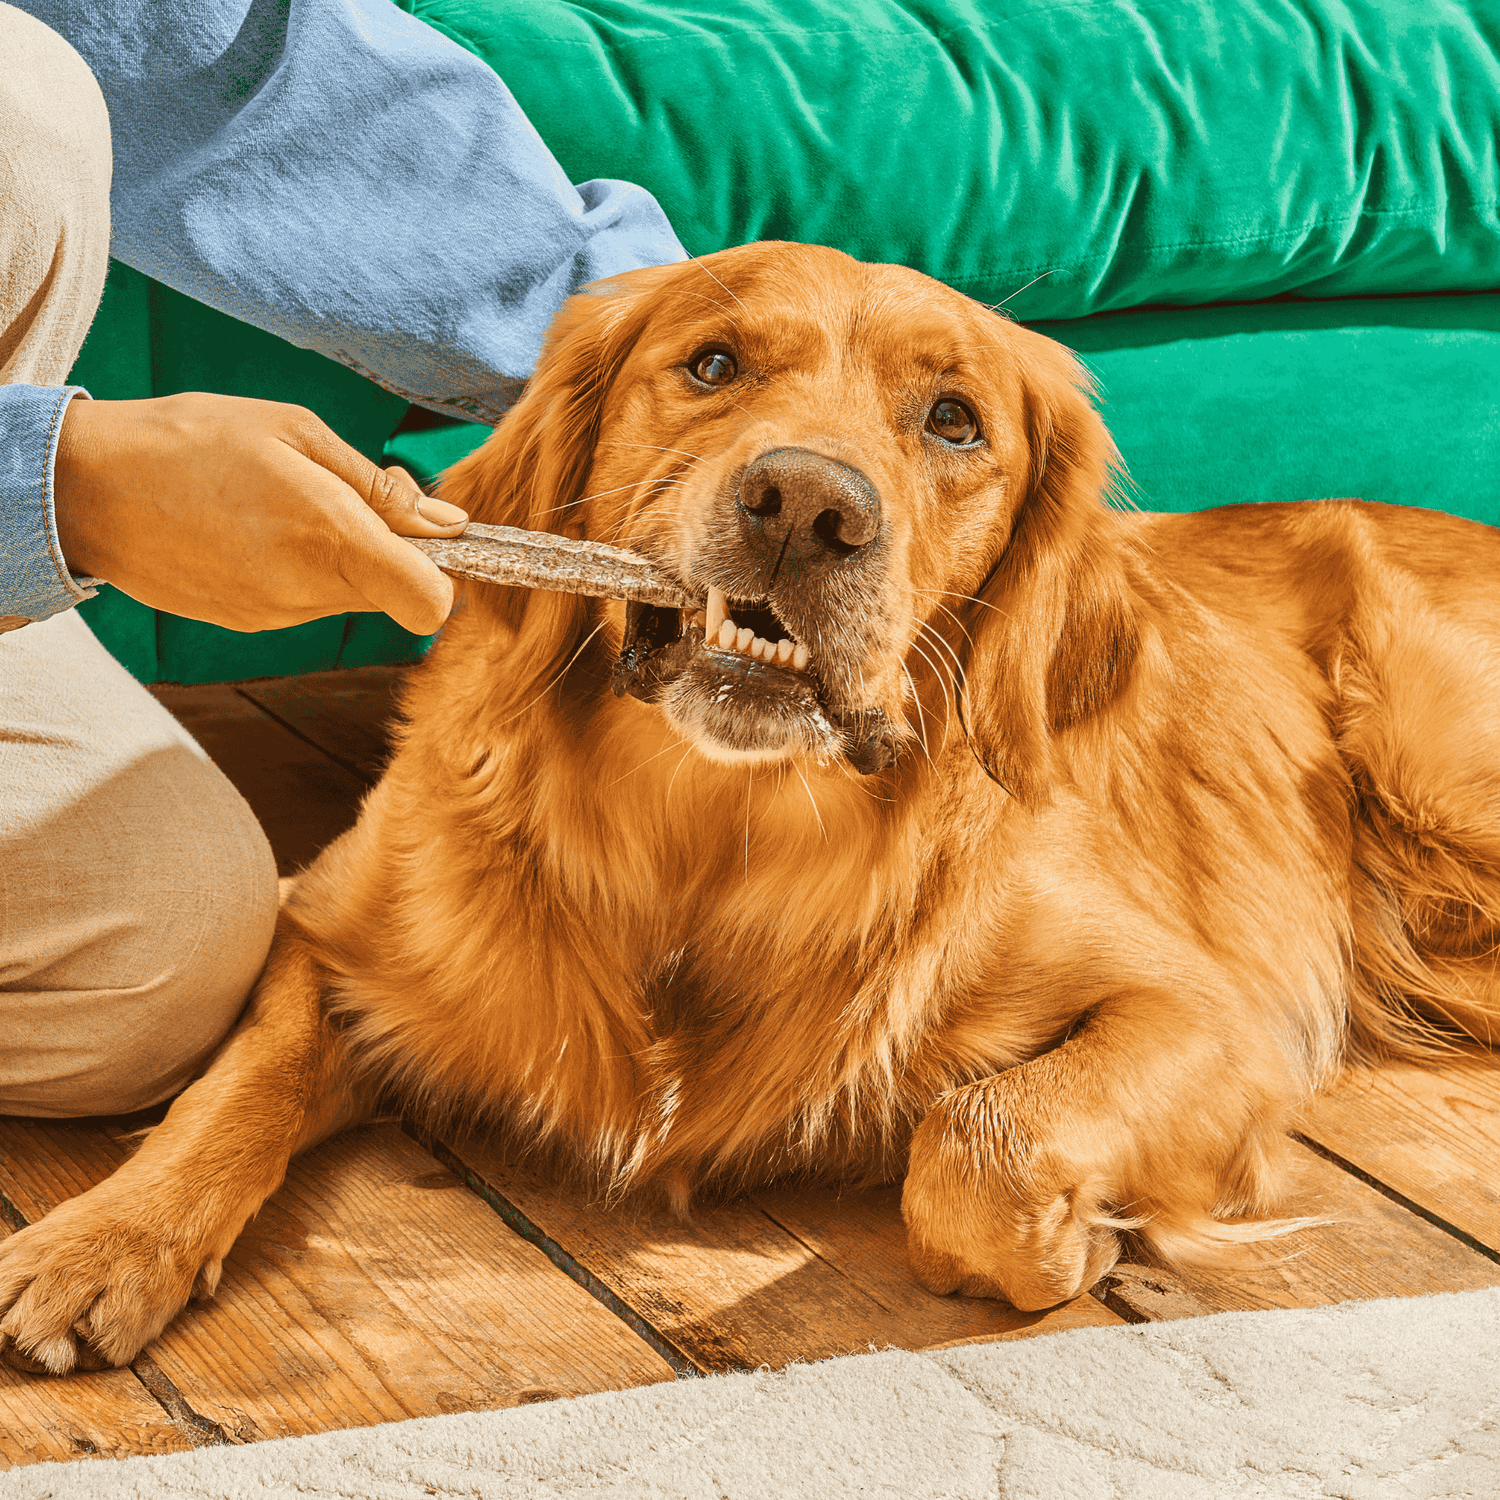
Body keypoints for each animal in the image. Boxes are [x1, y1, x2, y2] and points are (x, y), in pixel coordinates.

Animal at [2, 243, 1500, 1374]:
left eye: (954, 421)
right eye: (713, 365)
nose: (805, 506)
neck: (707, 851)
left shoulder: (1214, 1009)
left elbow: (981, 1138)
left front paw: (1074, 1235)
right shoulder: (328, 922)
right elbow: (232, 1086)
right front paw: (103, 1241)